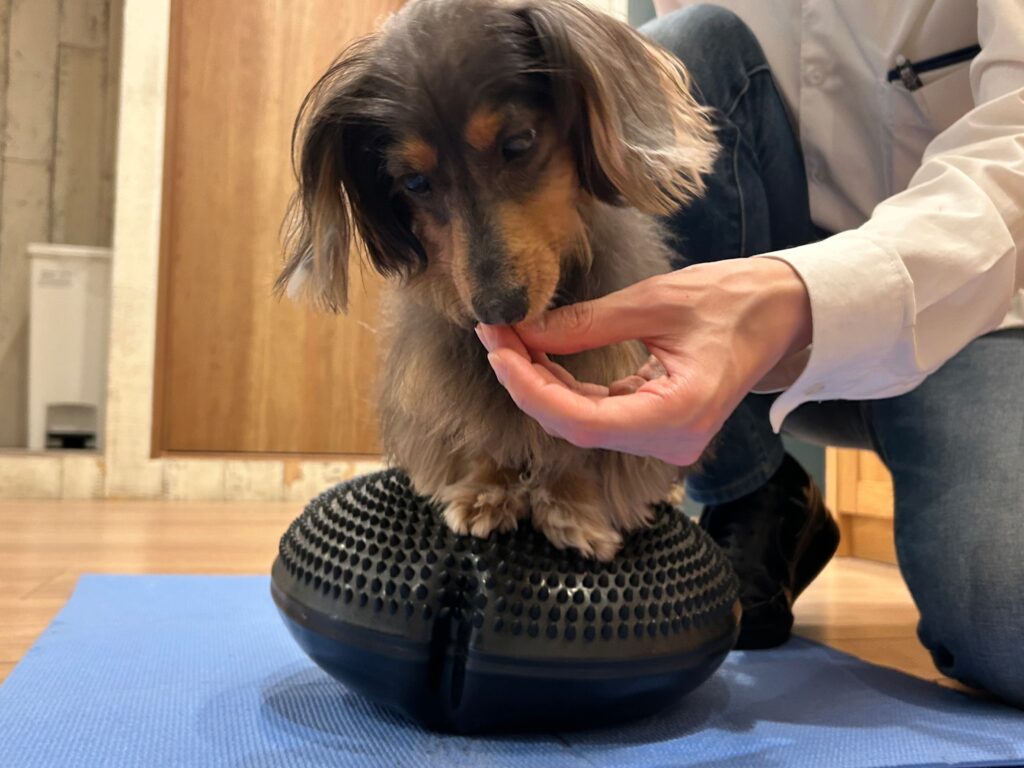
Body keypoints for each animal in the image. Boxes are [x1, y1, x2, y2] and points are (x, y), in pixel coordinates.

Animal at [276, 0, 717, 560]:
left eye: (518, 144)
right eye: (414, 183)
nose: (496, 311)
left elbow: (576, 444)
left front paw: (570, 503)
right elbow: (484, 429)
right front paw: (489, 489)